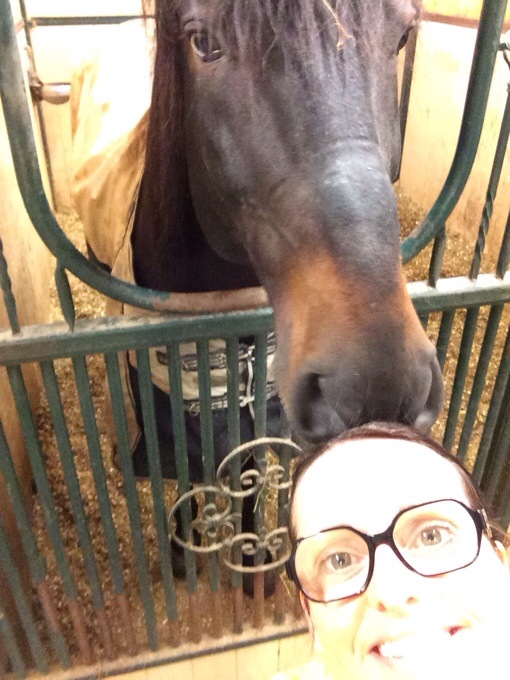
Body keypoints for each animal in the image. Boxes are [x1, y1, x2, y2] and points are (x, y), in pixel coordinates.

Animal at [70, 0, 443, 587]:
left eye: (403, 35)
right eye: (203, 42)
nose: (379, 380)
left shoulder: (261, 404)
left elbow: (249, 467)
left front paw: (250, 562)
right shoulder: (173, 407)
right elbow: (189, 473)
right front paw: (184, 556)